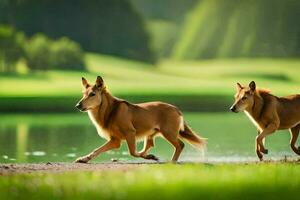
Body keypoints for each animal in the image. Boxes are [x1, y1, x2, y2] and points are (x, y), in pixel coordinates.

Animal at [75, 76, 206, 163]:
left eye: (92, 94)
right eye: (83, 94)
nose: (77, 105)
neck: (111, 110)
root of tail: (176, 109)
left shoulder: (130, 132)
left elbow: (132, 152)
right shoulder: (115, 140)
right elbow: (97, 150)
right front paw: (84, 158)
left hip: (168, 132)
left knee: (180, 145)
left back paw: (172, 161)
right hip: (152, 133)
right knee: (149, 145)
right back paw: (152, 156)